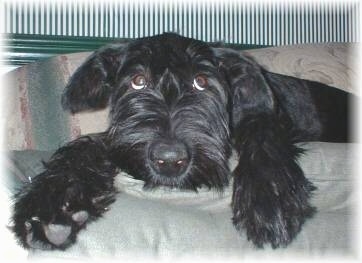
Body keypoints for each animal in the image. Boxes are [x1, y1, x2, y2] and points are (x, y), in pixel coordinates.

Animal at [12, 33, 354, 252]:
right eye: (138, 81)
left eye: (201, 82)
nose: (169, 160)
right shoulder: (120, 140)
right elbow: (91, 144)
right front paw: (55, 200)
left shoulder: (268, 118)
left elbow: (262, 130)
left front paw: (269, 198)